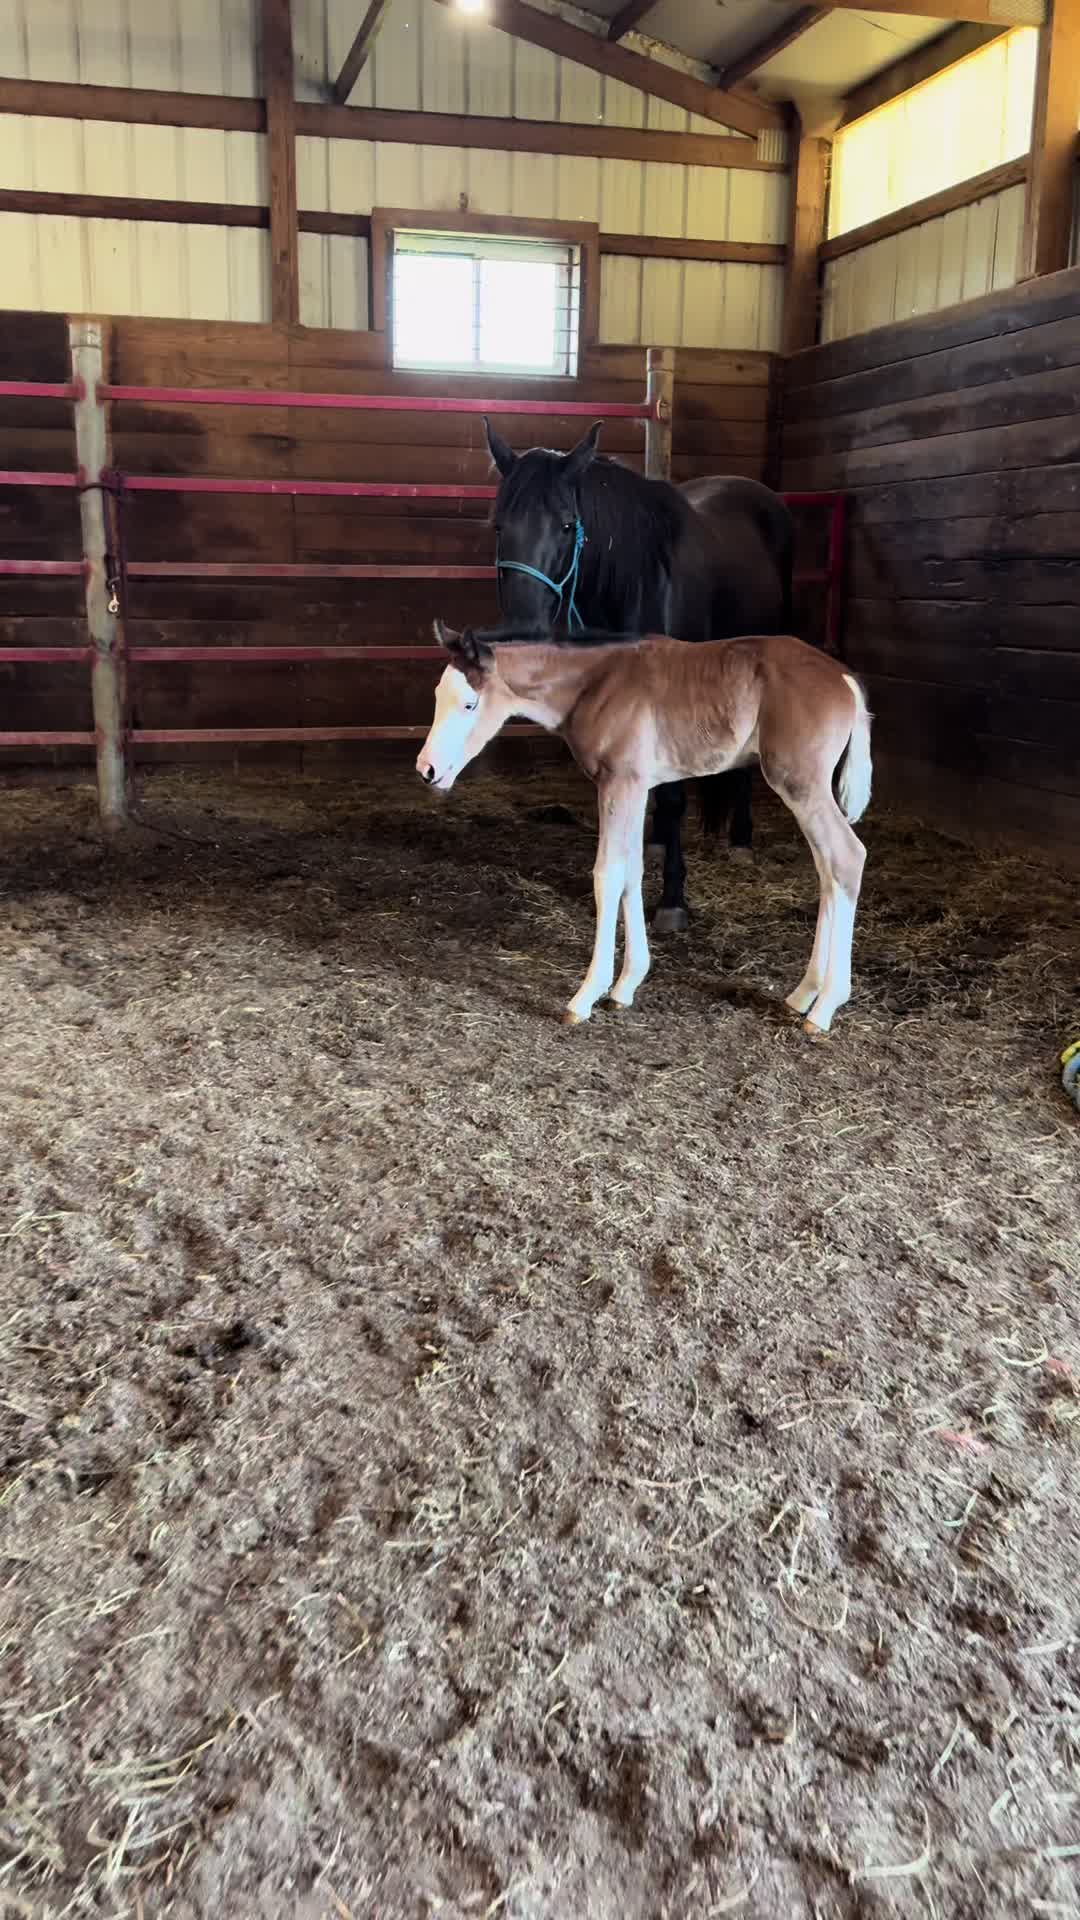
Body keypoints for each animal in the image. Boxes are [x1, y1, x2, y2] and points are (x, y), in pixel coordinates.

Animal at [417, 620, 872, 1037]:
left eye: (469, 705)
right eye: (437, 696)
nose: (427, 770)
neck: (594, 684)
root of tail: (844, 678)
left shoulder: (619, 783)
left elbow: (607, 875)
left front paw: (586, 996)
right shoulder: (637, 788)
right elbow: (632, 873)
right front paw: (625, 986)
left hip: (799, 783)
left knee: (847, 858)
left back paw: (824, 1008)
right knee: (827, 871)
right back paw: (803, 994)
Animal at [483, 419, 794, 933]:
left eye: (567, 525)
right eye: (499, 526)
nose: (522, 631)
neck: (639, 578)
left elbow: (672, 799)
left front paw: (672, 899)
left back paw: (740, 839)